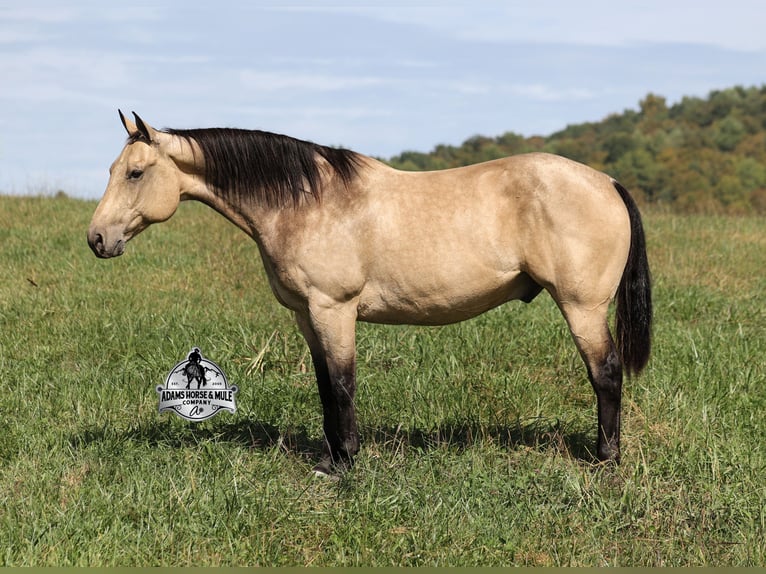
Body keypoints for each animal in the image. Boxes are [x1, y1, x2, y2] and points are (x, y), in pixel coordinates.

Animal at [88, 111, 652, 476]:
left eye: (135, 172)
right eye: (112, 170)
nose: (97, 238)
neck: (307, 201)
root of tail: (607, 181)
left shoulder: (333, 309)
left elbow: (342, 384)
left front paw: (344, 465)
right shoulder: (306, 316)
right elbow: (324, 386)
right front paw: (330, 457)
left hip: (582, 308)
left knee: (605, 373)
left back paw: (606, 459)